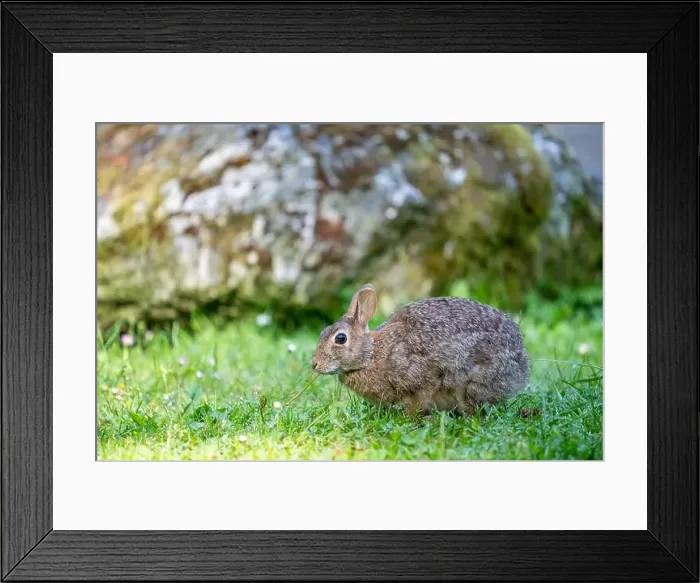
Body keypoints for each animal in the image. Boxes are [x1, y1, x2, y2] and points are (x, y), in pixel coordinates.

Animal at [311, 284, 529, 416]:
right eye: (322, 332)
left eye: (340, 338)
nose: (314, 364)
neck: (370, 355)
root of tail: (522, 365)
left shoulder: (419, 380)